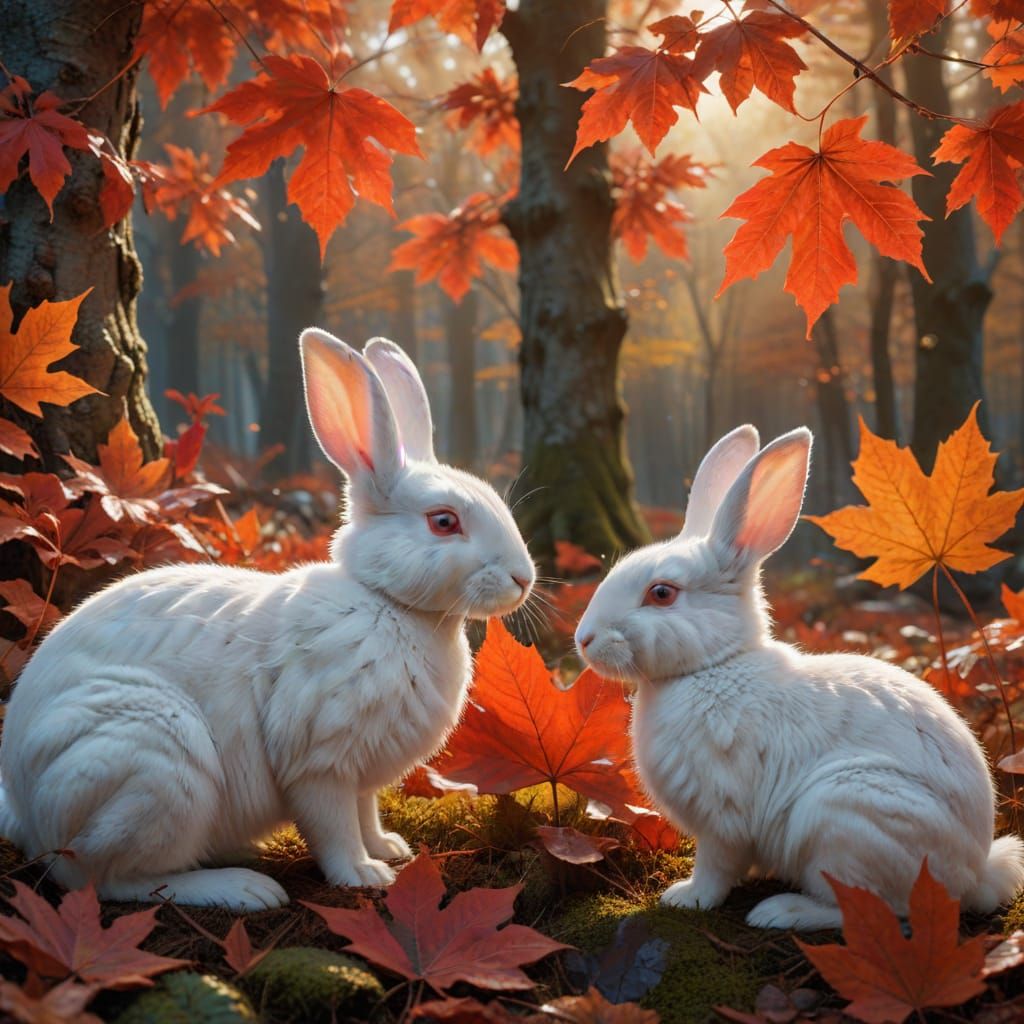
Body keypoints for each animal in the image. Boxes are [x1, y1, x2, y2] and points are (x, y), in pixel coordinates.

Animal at [0, 329, 535, 912]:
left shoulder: (361, 775)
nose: (523, 578)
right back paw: (245, 888)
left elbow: (365, 813)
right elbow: (333, 827)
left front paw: (389, 849)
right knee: (110, 879)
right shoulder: (319, 762)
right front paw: (363, 875)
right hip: (153, 765)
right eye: (444, 522)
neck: (389, 604)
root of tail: (27, 810)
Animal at [574, 424, 1024, 930]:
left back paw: (780, 912)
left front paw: (686, 897)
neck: (714, 666)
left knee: (871, 910)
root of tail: (973, 875)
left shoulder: (722, 820)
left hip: (842, 819)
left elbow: (716, 867)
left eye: (662, 593)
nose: (584, 639)